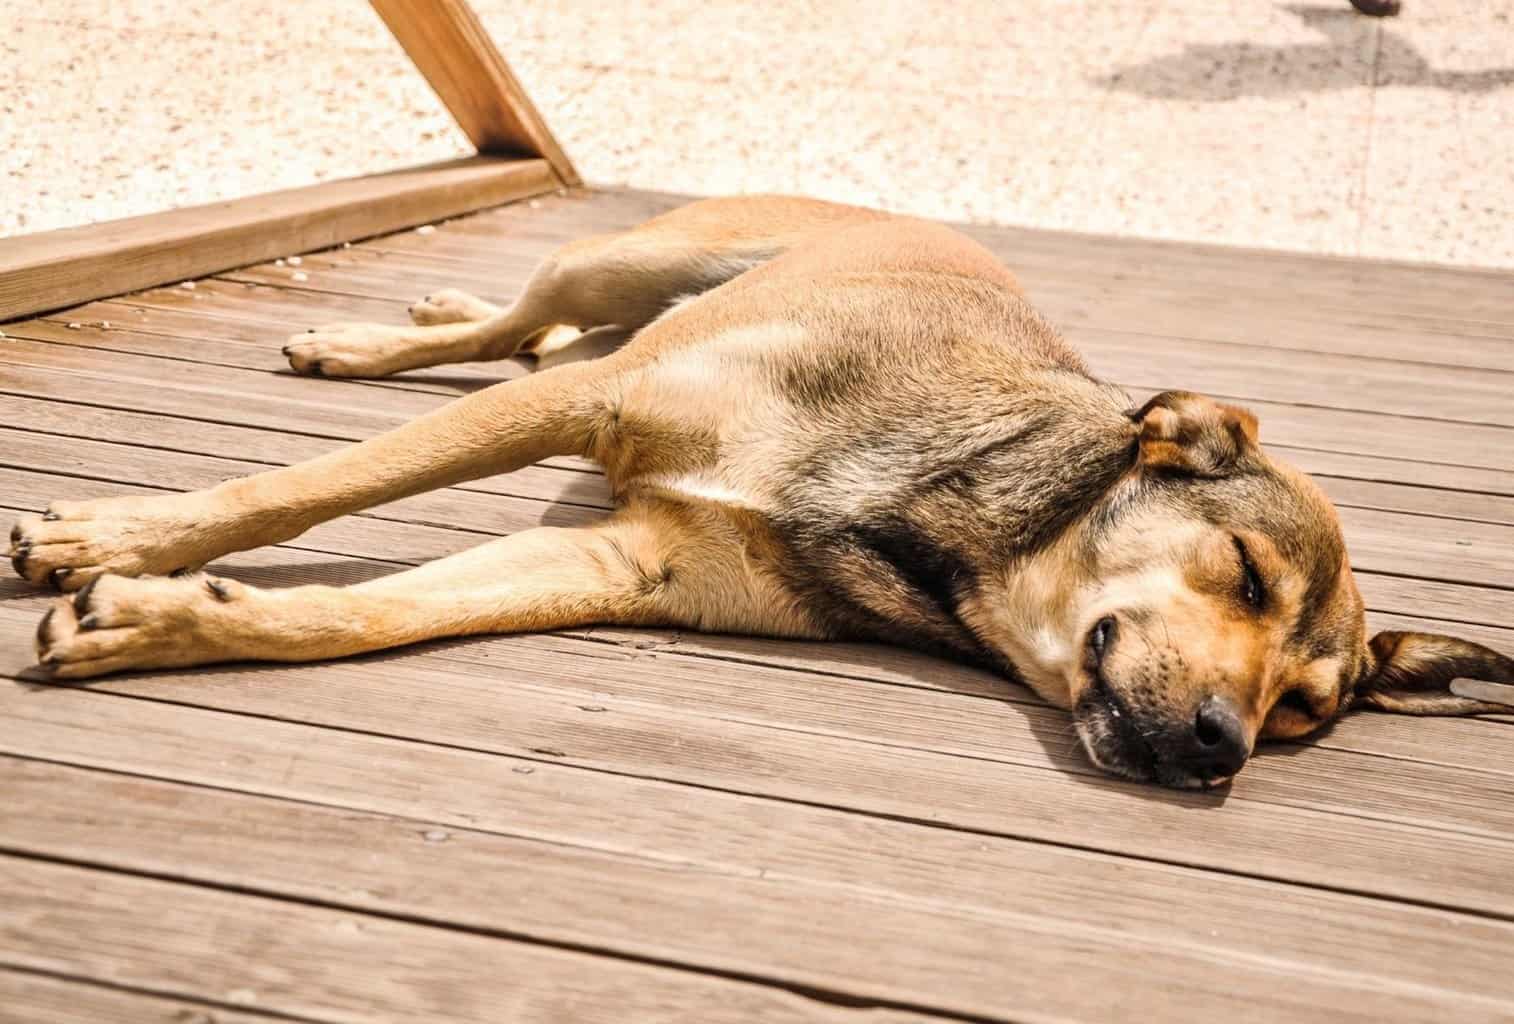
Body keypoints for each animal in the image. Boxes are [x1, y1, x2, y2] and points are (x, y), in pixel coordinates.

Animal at [11, 195, 1514, 787]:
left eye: (1302, 712)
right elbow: (299, 489)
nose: (1217, 749)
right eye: (1244, 576)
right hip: (620, 264)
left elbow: (365, 615)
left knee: (524, 334)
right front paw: (126, 531)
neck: (928, 526)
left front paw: (160, 617)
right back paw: (376, 336)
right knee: (518, 325)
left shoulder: (622, 564)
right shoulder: (596, 409)